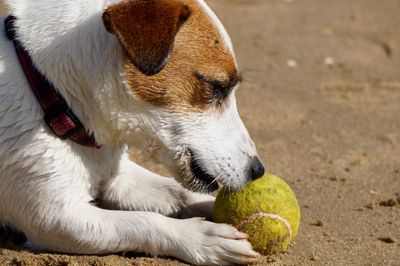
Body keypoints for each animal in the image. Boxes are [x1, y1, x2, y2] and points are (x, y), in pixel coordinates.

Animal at [0, 0, 266, 264]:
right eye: (217, 87)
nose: (258, 171)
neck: (53, 92)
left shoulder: (117, 177)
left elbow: (179, 192)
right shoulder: (53, 216)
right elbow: (145, 221)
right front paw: (202, 238)